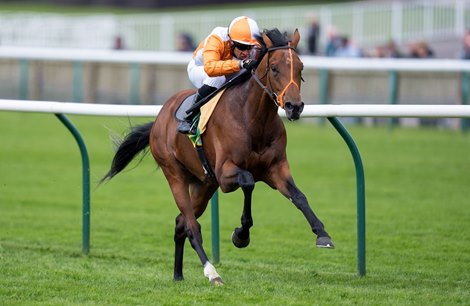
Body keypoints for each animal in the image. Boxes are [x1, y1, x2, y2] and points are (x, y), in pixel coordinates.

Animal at [102, 28, 334, 284]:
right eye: (274, 68)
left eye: (301, 67)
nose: (294, 106)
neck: (253, 120)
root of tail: (158, 119)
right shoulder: (225, 175)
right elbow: (248, 181)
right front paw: (241, 235)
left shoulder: (276, 169)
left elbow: (300, 197)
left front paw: (322, 235)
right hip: (175, 175)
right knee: (191, 226)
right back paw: (212, 272)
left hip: (204, 184)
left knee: (181, 222)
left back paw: (178, 274)